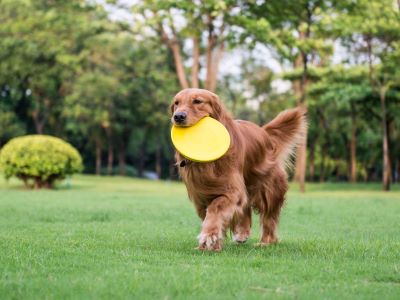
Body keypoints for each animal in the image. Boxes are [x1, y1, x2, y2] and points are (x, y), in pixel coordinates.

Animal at [170, 87, 306, 251]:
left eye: (197, 101)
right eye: (176, 103)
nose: (178, 116)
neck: (208, 164)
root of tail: (264, 132)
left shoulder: (232, 189)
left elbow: (216, 208)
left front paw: (209, 235)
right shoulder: (200, 195)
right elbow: (211, 214)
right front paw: (210, 245)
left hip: (268, 189)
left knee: (269, 217)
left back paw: (266, 241)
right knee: (246, 207)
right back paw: (242, 233)